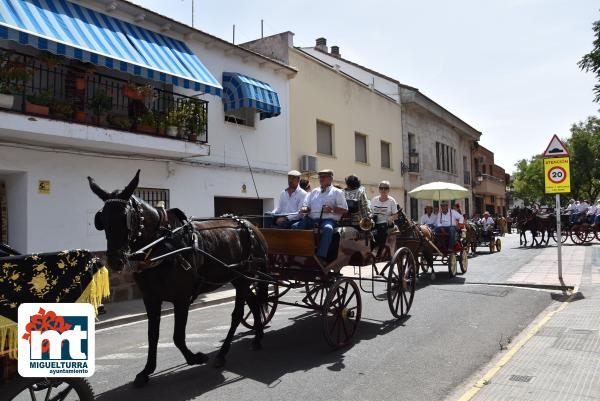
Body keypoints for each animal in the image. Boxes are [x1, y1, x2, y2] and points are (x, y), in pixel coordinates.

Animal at [88, 170, 268, 386]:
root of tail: (251, 225)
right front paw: (147, 370)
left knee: (238, 314)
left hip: (243, 279)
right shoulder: (151, 298)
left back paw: (223, 353)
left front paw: (194, 357)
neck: (162, 246)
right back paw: (257, 338)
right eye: (102, 220)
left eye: (126, 218)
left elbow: (177, 336)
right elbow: (153, 334)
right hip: (238, 277)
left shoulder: (181, 298)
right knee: (255, 303)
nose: (116, 260)